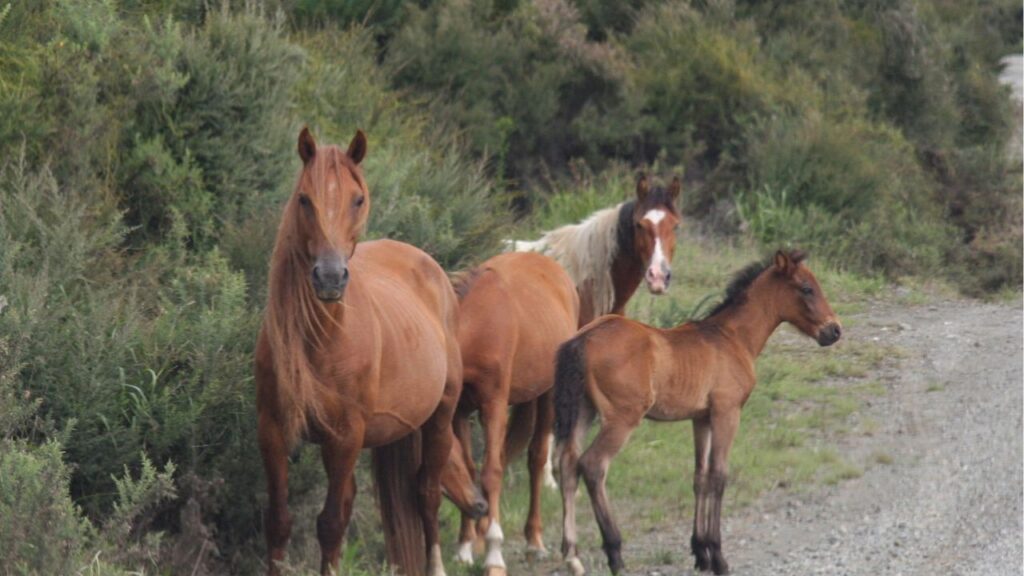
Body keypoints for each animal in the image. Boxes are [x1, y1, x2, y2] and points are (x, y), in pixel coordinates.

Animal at [255, 127, 464, 576]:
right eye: (304, 199)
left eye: (358, 199)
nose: (330, 277)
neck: (322, 339)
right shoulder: (273, 431)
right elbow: (279, 522)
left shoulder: (345, 436)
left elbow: (331, 524)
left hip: (440, 417)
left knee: (427, 495)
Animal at [440, 252, 580, 576]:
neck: (475, 325)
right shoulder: (459, 411)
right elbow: (470, 469)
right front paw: (465, 546)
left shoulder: (493, 405)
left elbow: (491, 472)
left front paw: (493, 553)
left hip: (547, 393)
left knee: (537, 458)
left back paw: (535, 542)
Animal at [554, 250, 842, 576]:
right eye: (806, 288)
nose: (834, 330)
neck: (732, 338)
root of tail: (582, 340)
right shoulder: (727, 412)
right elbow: (718, 475)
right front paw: (718, 556)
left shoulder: (701, 418)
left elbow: (700, 476)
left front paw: (700, 551)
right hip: (621, 418)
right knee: (593, 465)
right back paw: (615, 553)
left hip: (583, 412)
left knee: (567, 465)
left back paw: (572, 555)